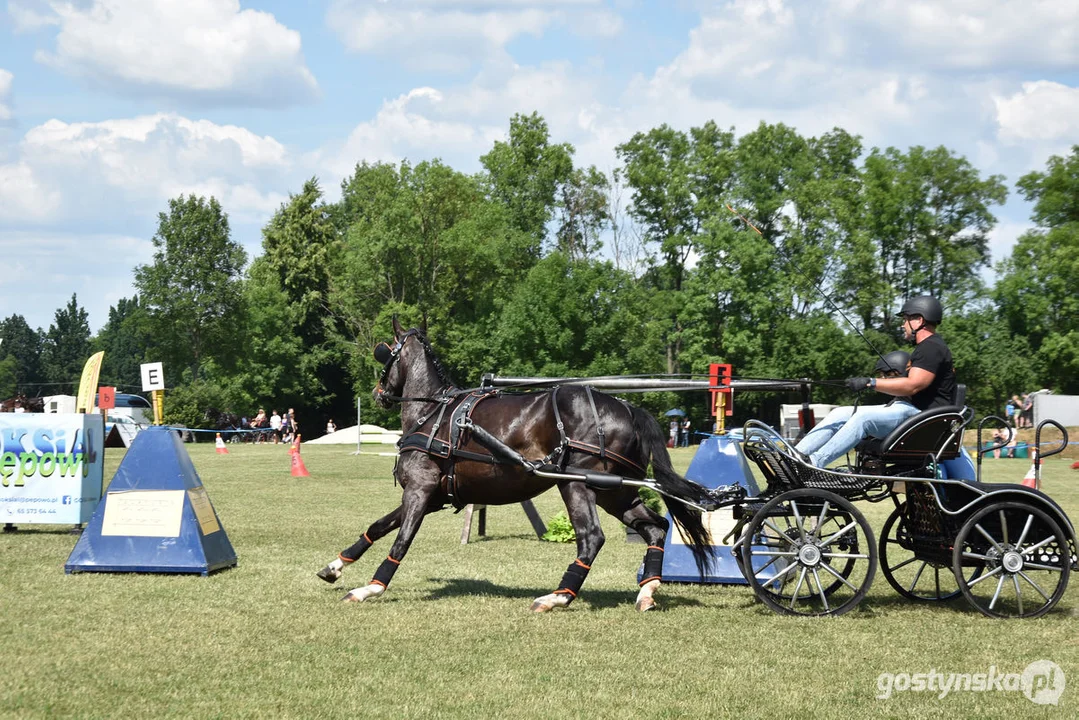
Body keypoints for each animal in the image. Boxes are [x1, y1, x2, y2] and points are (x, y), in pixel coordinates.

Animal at [315, 317, 712, 613]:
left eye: (385, 354)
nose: (378, 393)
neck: (433, 413)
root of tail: (629, 408)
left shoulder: (419, 490)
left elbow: (400, 541)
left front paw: (371, 588)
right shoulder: (431, 497)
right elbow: (378, 526)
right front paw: (335, 566)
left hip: (577, 484)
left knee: (591, 538)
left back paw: (558, 596)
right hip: (613, 492)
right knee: (656, 527)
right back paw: (647, 591)